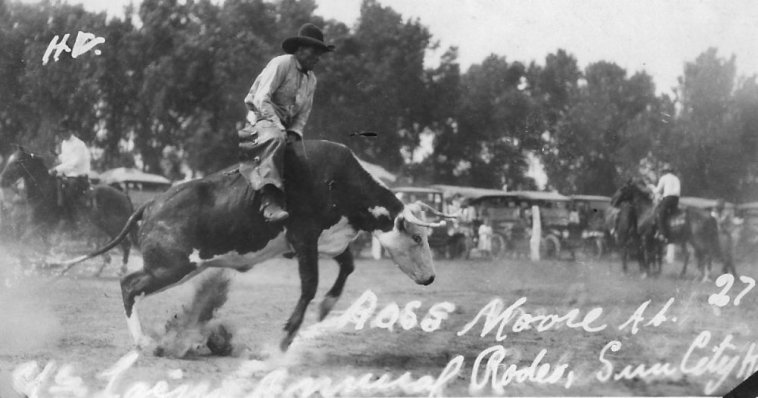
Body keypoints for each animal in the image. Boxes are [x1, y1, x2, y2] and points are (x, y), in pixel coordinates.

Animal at [0, 145, 137, 276]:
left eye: (17, 163)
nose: (1, 180)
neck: (44, 191)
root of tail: (124, 195)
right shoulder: (41, 228)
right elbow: (42, 246)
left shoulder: (41, 225)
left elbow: (24, 240)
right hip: (106, 227)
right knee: (111, 245)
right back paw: (100, 268)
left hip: (115, 226)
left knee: (126, 244)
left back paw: (121, 269)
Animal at [59, 140, 454, 352]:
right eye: (417, 237)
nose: (431, 278)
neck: (337, 181)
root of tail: (151, 203)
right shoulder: (303, 239)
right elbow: (309, 284)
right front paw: (286, 337)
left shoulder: (329, 240)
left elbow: (348, 266)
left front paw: (326, 308)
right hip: (171, 266)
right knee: (128, 285)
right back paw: (143, 342)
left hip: (176, 267)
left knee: (129, 284)